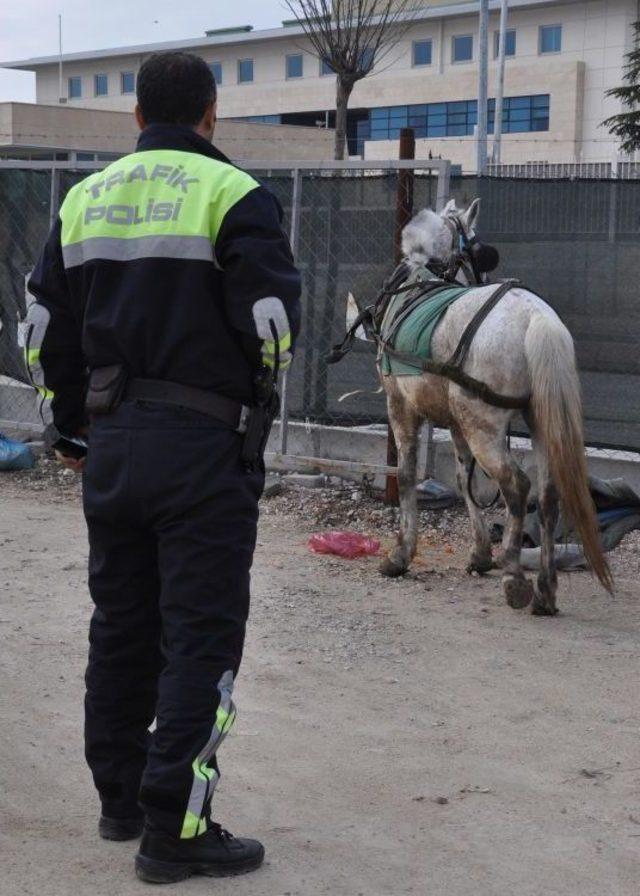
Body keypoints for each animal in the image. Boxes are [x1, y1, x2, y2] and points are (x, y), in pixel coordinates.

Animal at [352, 199, 612, 612]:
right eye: (477, 248)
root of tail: (536, 317)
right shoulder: (456, 422)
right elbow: (464, 479)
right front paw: (479, 554)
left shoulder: (401, 406)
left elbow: (406, 474)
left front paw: (401, 554)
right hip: (537, 422)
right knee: (547, 495)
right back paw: (545, 589)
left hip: (484, 427)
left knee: (516, 486)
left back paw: (515, 578)